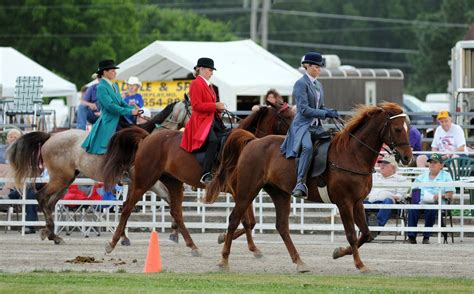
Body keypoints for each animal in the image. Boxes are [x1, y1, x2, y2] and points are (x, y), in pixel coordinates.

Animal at [6, 100, 190, 245]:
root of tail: (50, 136)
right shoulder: (147, 182)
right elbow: (152, 202)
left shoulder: (139, 183)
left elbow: (134, 204)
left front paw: (173, 232)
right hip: (60, 179)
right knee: (42, 197)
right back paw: (51, 233)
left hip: (66, 181)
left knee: (50, 203)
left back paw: (52, 234)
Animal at [101, 100, 292, 255]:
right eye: (287, 118)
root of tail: (147, 138)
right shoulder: (239, 192)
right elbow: (245, 221)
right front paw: (232, 242)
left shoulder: (244, 191)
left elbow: (250, 222)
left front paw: (240, 243)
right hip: (145, 181)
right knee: (127, 208)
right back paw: (112, 243)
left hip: (173, 183)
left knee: (176, 212)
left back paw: (192, 246)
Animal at [206, 103, 412, 274]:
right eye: (398, 128)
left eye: (407, 129)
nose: (407, 157)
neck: (353, 154)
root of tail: (253, 141)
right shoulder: (344, 203)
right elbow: (352, 235)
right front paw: (360, 265)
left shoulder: (358, 202)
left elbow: (367, 233)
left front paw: (339, 252)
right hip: (246, 190)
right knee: (234, 219)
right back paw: (223, 261)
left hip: (280, 194)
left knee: (282, 227)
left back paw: (299, 262)